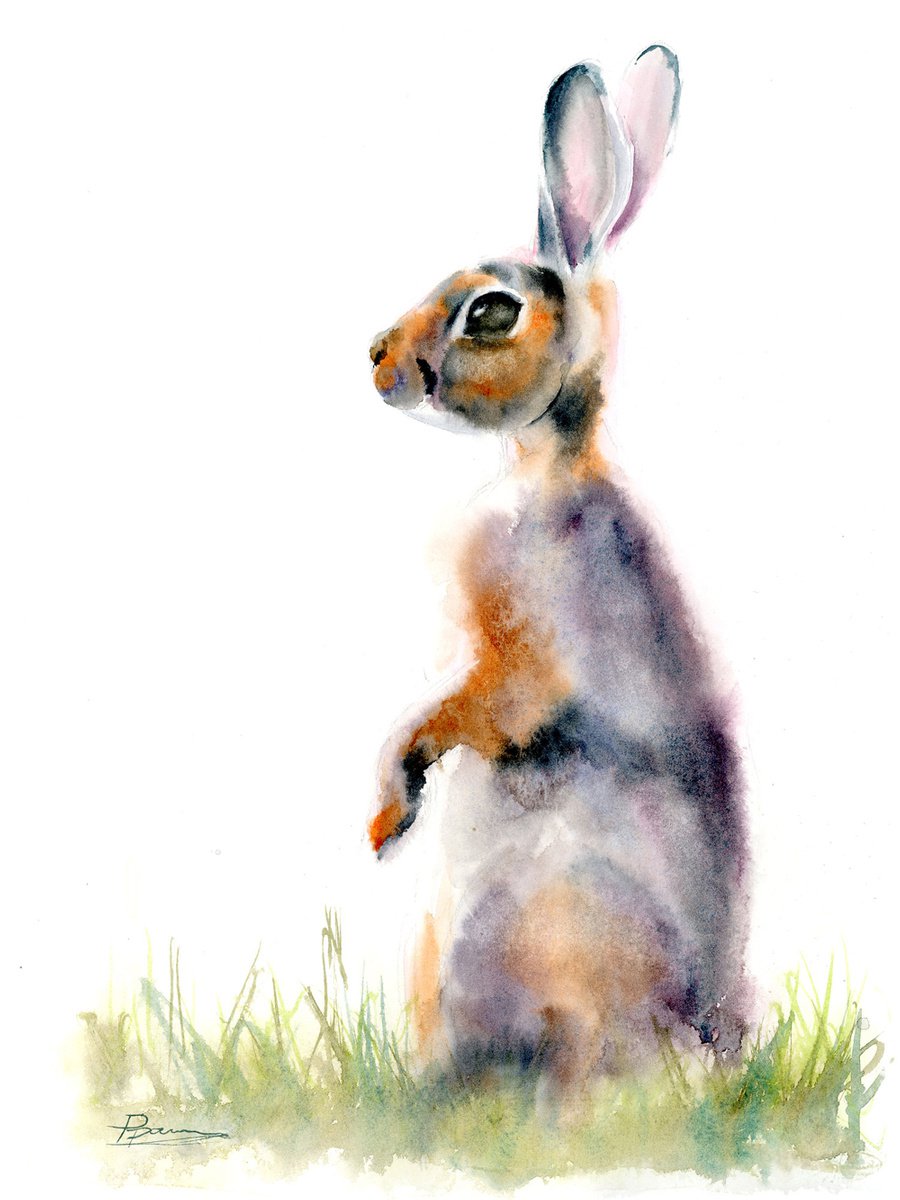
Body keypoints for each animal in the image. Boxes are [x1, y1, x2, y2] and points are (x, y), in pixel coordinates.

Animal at [366, 47, 750, 1098]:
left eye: (491, 311)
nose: (375, 359)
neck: (545, 468)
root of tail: (702, 1043)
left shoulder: (525, 659)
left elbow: (476, 709)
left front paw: (389, 807)